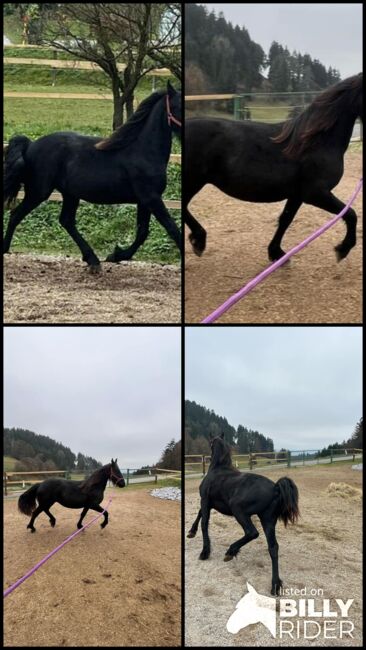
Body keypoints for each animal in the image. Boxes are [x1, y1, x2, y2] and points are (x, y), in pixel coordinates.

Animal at [4, 81, 182, 270]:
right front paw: (116, 255)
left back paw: (92, 259)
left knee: (66, 221)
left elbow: (142, 233)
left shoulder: (144, 200)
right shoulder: (151, 198)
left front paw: (116, 255)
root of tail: (30, 145)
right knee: (16, 215)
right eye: (178, 106)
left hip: (69, 194)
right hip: (38, 192)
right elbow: (172, 229)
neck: (143, 151)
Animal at [186, 71, 364, 264]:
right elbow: (351, 214)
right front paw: (342, 249)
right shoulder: (315, 193)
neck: (317, 141)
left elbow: (285, 219)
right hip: (193, 181)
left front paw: (276, 253)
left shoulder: (297, 195)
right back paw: (199, 240)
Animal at [187, 432, 298, 596]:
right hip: (267, 520)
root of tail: (275, 488)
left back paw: (230, 551)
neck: (218, 469)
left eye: (211, 443)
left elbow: (204, 523)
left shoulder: (205, 500)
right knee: (273, 547)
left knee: (252, 532)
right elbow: (200, 515)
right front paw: (191, 532)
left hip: (239, 511)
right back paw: (275, 585)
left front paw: (204, 552)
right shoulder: (208, 503)